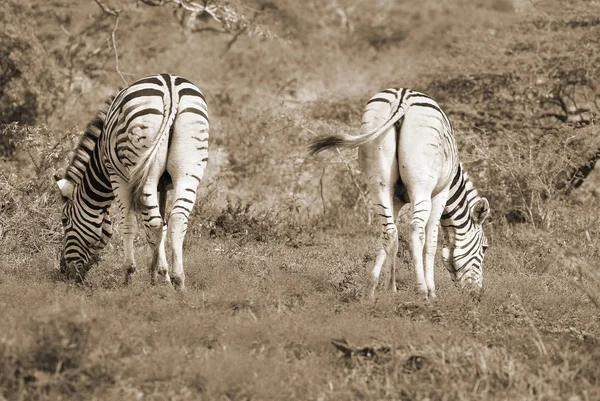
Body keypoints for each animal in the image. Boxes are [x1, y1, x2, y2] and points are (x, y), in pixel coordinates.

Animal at [55, 74, 209, 288]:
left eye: (64, 220)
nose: (64, 271)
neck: (100, 162)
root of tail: (170, 87)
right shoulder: (163, 186)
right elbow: (162, 226)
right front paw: (163, 274)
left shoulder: (117, 177)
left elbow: (129, 223)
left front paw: (129, 274)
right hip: (189, 168)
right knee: (176, 219)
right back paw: (177, 280)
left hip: (143, 166)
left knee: (153, 222)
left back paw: (154, 277)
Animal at [312, 88, 490, 300]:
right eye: (485, 248)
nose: (477, 295)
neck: (454, 182)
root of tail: (402, 96)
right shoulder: (441, 194)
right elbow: (431, 242)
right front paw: (432, 291)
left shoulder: (396, 200)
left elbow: (390, 238)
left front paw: (380, 287)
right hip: (420, 184)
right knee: (416, 230)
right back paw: (421, 290)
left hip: (379, 180)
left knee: (388, 231)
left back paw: (379, 289)